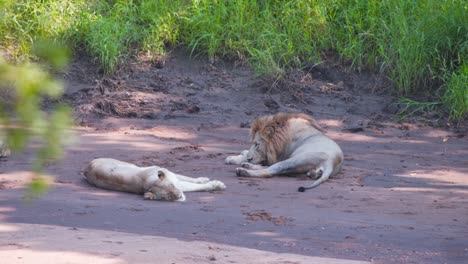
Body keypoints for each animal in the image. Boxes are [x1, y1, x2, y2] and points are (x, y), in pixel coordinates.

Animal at [84, 158, 227, 201]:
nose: (179, 196)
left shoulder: (169, 174)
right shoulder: (179, 183)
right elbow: (193, 186)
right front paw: (216, 185)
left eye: (171, 186)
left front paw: (204, 179)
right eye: (167, 197)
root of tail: (86, 168)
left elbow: (188, 179)